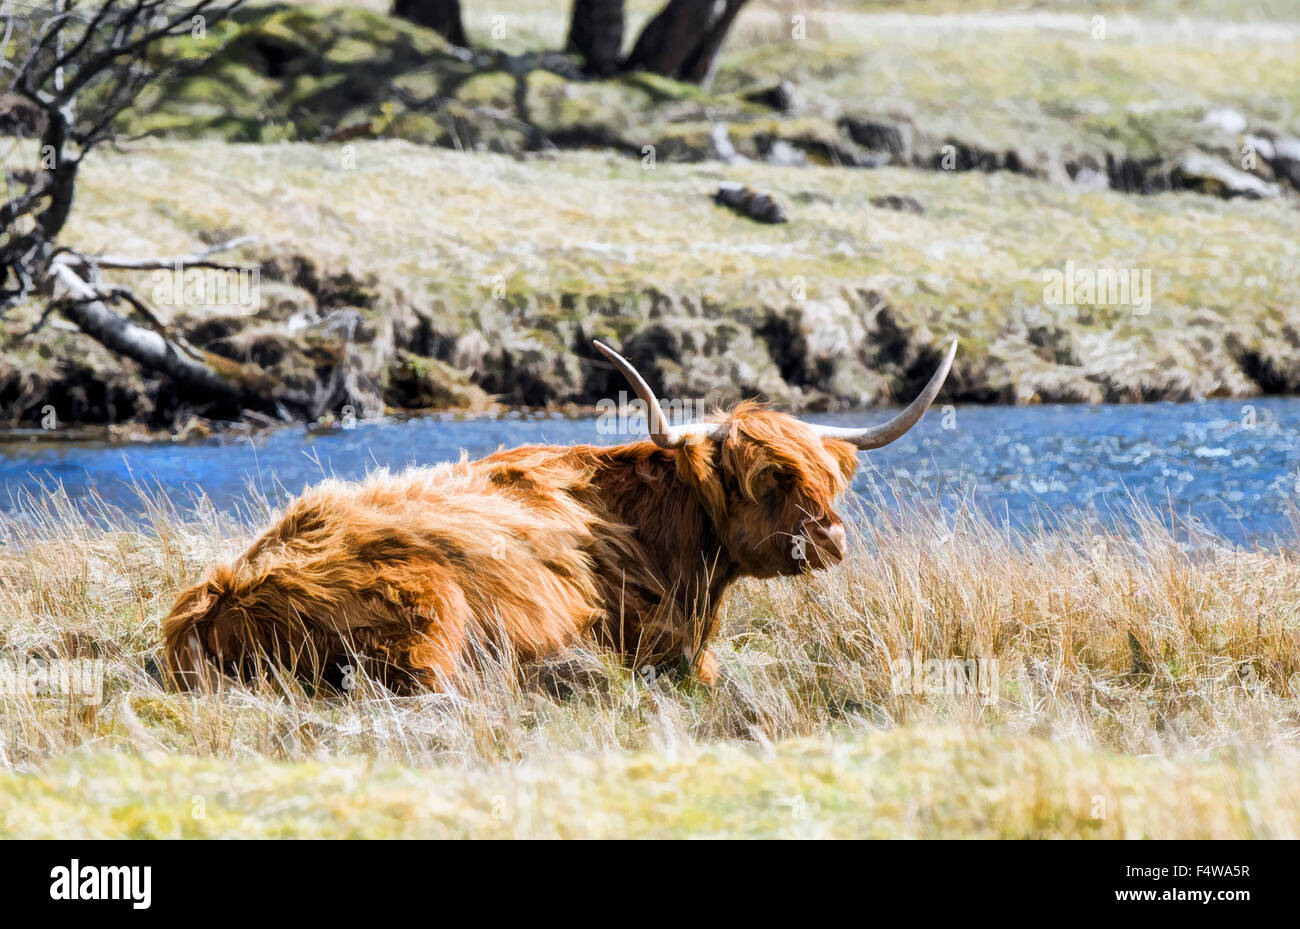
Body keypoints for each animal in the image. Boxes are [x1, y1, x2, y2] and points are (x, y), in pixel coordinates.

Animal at [162, 338, 957, 693]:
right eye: (765, 477)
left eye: (826, 478)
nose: (831, 536)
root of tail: (218, 596)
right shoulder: (660, 641)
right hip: (428, 612)